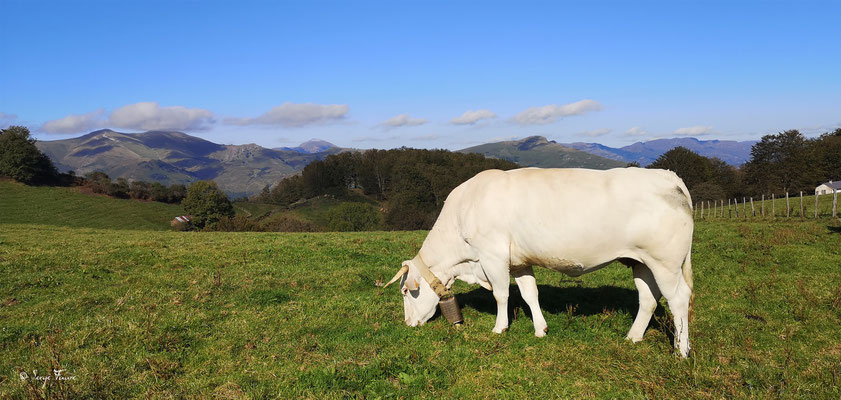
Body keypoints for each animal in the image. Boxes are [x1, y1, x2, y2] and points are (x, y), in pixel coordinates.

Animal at [384, 167, 692, 358]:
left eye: (405, 291)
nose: (408, 324)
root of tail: (667, 175)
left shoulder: (493, 255)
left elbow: (501, 294)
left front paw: (500, 328)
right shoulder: (520, 261)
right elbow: (529, 293)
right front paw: (540, 329)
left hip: (666, 263)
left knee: (678, 299)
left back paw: (681, 351)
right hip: (642, 262)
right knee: (648, 298)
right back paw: (633, 337)